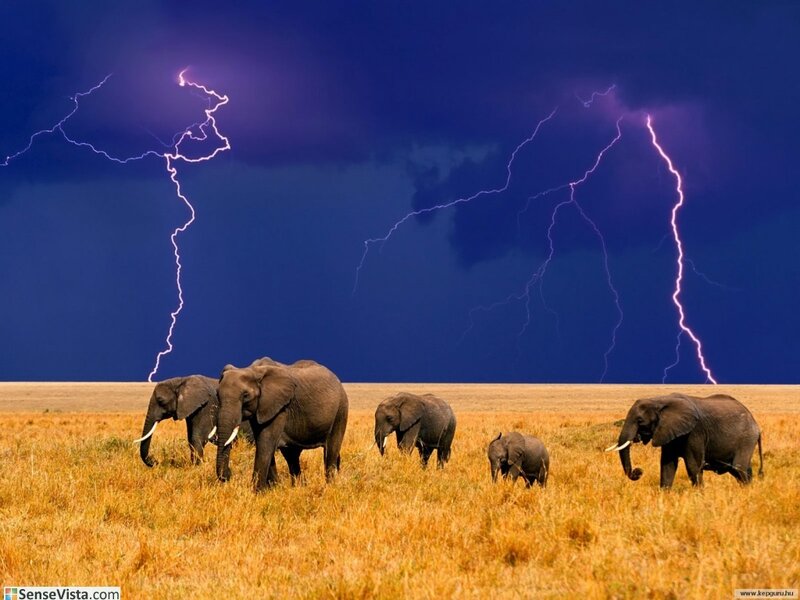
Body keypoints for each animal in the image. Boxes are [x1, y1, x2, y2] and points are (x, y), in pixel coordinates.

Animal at [215, 358, 349, 491]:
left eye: (245, 396)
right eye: (217, 395)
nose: (229, 474)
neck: (253, 370)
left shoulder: (279, 406)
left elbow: (265, 443)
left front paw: (257, 492)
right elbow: (263, 442)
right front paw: (273, 489)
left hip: (341, 410)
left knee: (331, 451)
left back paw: (330, 487)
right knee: (292, 456)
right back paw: (298, 488)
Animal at [606, 393, 763, 488]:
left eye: (640, 421)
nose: (638, 471)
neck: (659, 400)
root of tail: (756, 425)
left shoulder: (695, 432)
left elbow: (693, 465)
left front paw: (699, 495)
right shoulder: (668, 431)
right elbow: (667, 464)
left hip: (746, 438)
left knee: (738, 467)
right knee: (742, 470)